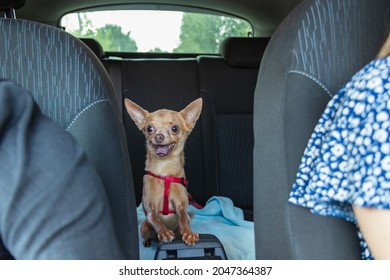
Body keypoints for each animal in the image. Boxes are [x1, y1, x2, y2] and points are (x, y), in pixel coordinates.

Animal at [125, 97, 203, 246]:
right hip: (144, 228)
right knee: (149, 232)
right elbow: (154, 218)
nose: (159, 136)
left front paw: (189, 233)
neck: (164, 170)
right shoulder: (150, 207)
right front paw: (164, 232)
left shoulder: (181, 204)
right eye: (149, 128)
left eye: (174, 128)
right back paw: (149, 241)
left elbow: (183, 217)